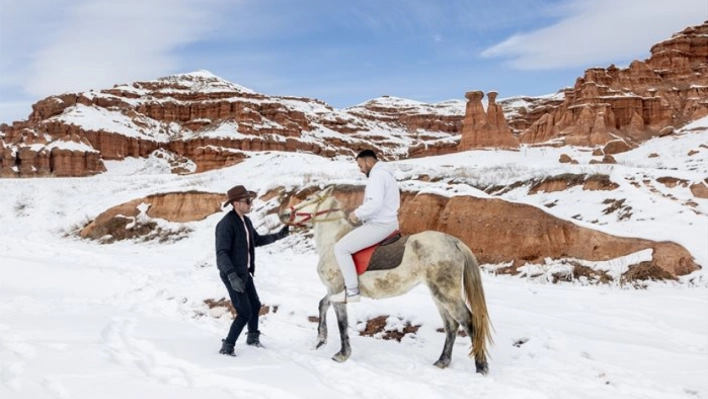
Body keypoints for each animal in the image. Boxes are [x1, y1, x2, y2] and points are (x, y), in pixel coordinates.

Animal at [278, 188, 492, 376]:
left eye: (309, 199)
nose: (284, 214)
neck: (333, 242)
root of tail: (455, 242)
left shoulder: (336, 289)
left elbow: (341, 323)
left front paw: (342, 354)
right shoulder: (335, 290)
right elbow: (322, 305)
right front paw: (320, 339)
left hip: (447, 294)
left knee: (469, 322)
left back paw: (481, 367)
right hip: (438, 295)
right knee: (451, 326)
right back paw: (442, 361)